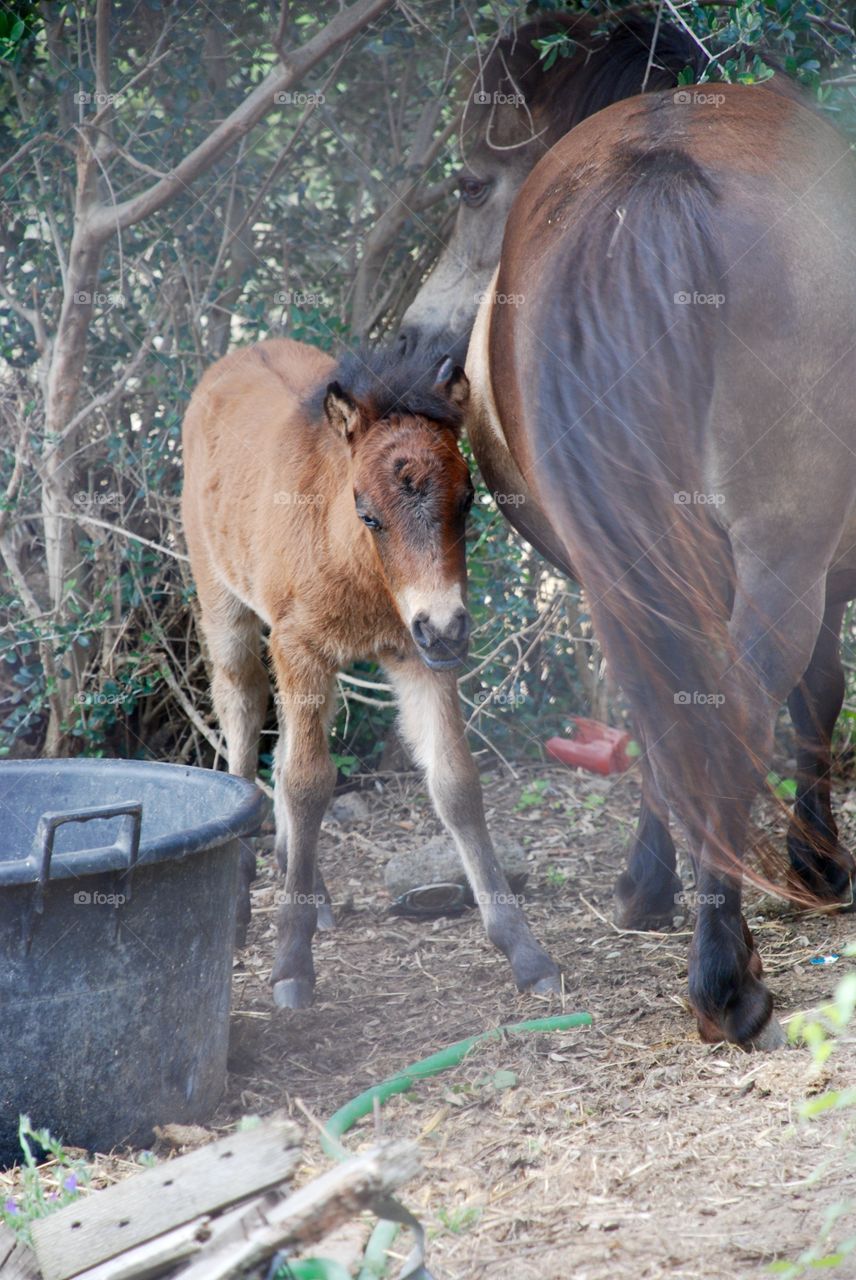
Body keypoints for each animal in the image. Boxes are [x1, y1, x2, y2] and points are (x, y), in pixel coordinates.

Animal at [180, 337, 560, 1008]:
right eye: (369, 513)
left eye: (467, 500)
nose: (448, 627)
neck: (358, 569)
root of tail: (237, 357)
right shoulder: (302, 645)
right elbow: (309, 784)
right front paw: (291, 965)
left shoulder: (417, 656)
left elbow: (456, 784)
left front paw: (525, 951)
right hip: (222, 600)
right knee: (243, 709)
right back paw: (246, 897)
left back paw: (310, 888)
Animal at [398, 14, 856, 1047]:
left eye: (469, 185)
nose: (409, 341)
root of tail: (659, 168)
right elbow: (818, 693)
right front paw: (818, 863)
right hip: (781, 553)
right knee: (746, 698)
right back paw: (727, 978)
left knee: (673, 697)